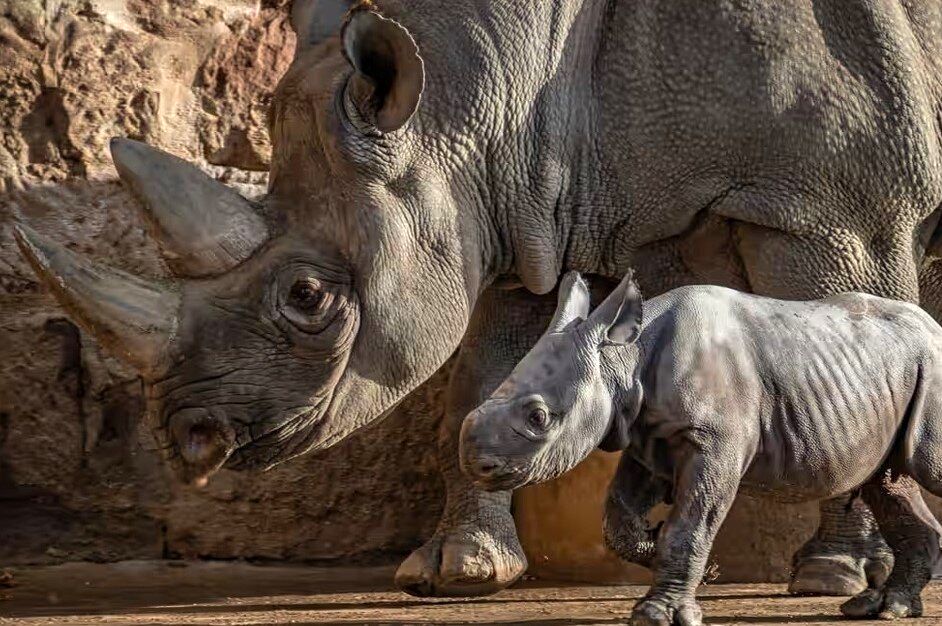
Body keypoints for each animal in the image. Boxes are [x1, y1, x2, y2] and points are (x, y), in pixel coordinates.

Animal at [460, 270, 942, 620]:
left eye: (537, 417)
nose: (475, 464)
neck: (626, 357)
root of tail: (932, 325)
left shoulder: (712, 441)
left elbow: (691, 522)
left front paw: (657, 614)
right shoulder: (648, 437)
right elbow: (617, 519)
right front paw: (669, 557)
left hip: (930, 364)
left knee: (924, 470)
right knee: (888, 482)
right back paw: (884, 609)